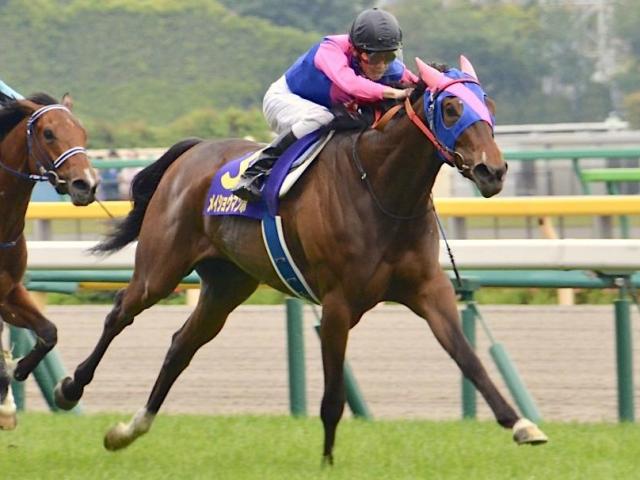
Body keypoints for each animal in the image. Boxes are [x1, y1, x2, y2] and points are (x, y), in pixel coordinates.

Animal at [0, 93, 98, 429]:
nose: (86, 184)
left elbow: (48, 332)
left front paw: (16, 372)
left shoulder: (9, 291)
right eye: (49, 133)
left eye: (83, 132)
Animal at [54, 57, 547, 463]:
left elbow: (468, 358)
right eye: (450, 108)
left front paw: (521, 424)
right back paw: (70, 388)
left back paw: (129, 429)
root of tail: (192, 152)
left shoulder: (428, 290)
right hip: (161, 267)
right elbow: (332, 399)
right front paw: (327, 463)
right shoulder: (337, 303)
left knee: (181, 345)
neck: (381, 189)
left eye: (489, 105)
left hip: (226, 285)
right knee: (121, 312)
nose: (493, 171)